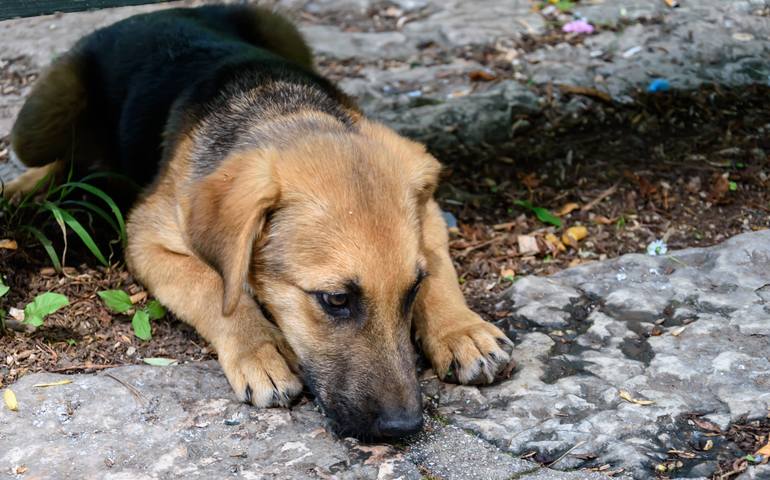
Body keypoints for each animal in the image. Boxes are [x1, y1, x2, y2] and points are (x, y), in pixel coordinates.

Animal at [6, 3, 512, 440]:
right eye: (335, 300)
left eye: (412, 289)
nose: (403, 428)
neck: (282, 113)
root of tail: (159, 12)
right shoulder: (147, 237)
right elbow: (213, 286)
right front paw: (259, 349)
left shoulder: (428, 208)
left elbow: (441, 268)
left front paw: (461, 329)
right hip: (41, 117)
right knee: (58, 159)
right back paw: (20, 191)